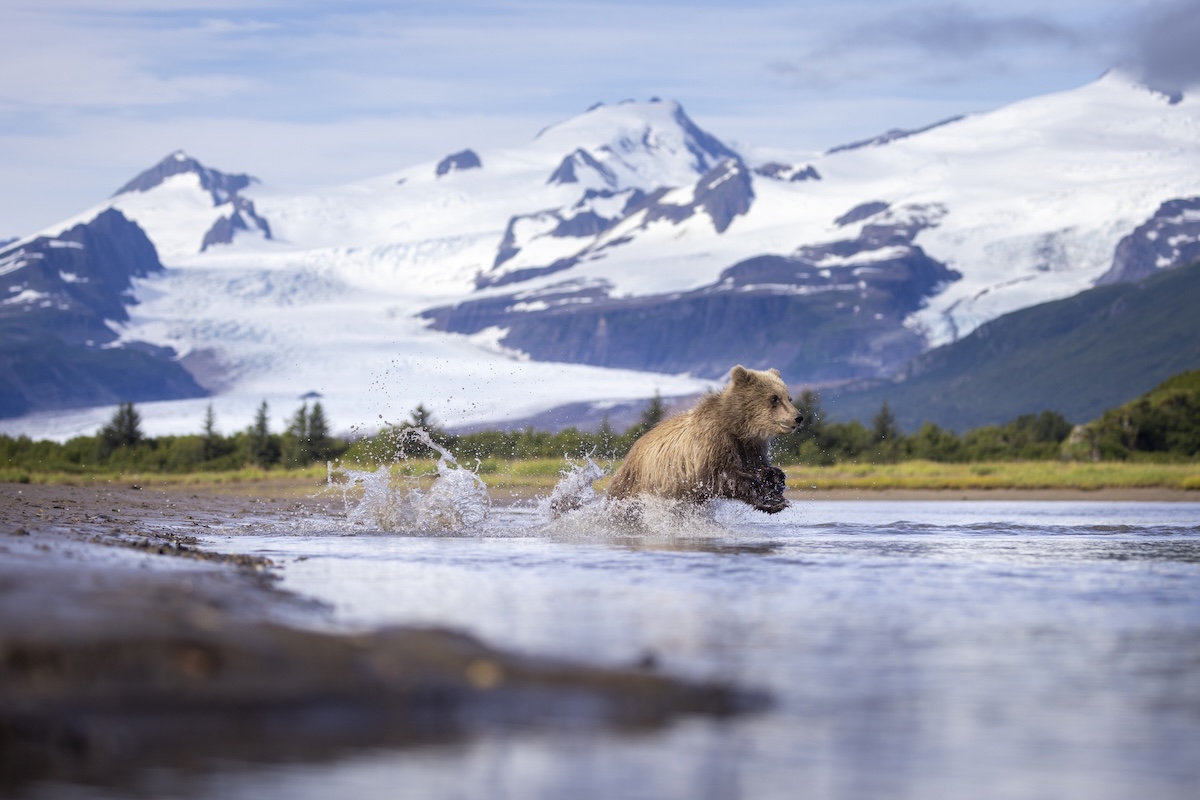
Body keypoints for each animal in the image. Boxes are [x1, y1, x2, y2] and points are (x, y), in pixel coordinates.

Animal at [607, 365, 802, 514]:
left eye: (789, 398)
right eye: (774, 398)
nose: (798, 417)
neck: (738, 428)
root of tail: (630, 452)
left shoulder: (752, 448)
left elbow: (761, 468)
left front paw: (775, 482)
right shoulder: (712, 445)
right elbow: (724, 477)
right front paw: (771, 500)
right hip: (635, 485)